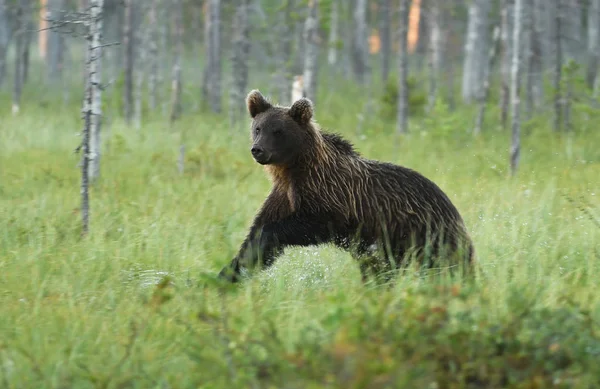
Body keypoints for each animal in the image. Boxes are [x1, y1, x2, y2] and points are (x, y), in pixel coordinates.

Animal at [218, 88, 476, 282]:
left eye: (278, 131)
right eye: (258, 128)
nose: (258, 149)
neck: (294, 172)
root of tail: (452, 206)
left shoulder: (332, 200)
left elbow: (303, 225)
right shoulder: (283, 196)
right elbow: (257, 234)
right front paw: (230, 272)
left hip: (424, 231)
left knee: (448, 263)